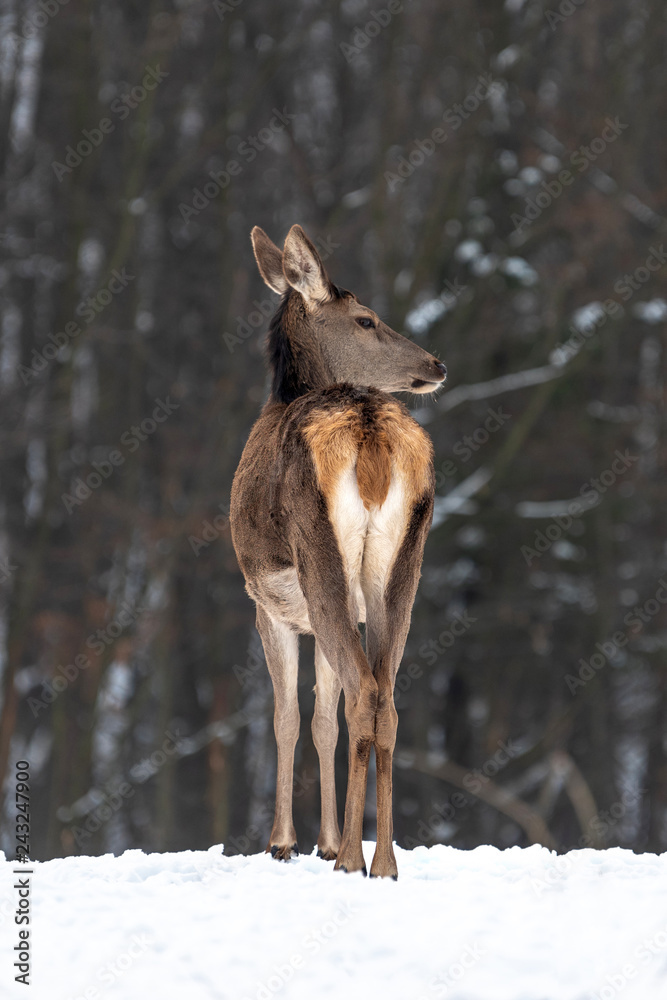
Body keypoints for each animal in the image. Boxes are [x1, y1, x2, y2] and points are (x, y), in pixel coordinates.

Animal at [230, 224, 446, 879]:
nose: (436, 364)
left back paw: (353, 859)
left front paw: (285, 841)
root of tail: (369, 428)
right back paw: (383, 860)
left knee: (365, 694)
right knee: (385, 697)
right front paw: (322, 839)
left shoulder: (268, 604)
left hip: (318, 554)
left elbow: (289, 718)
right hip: (402, 563)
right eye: (366, 319)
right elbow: (323, 718)